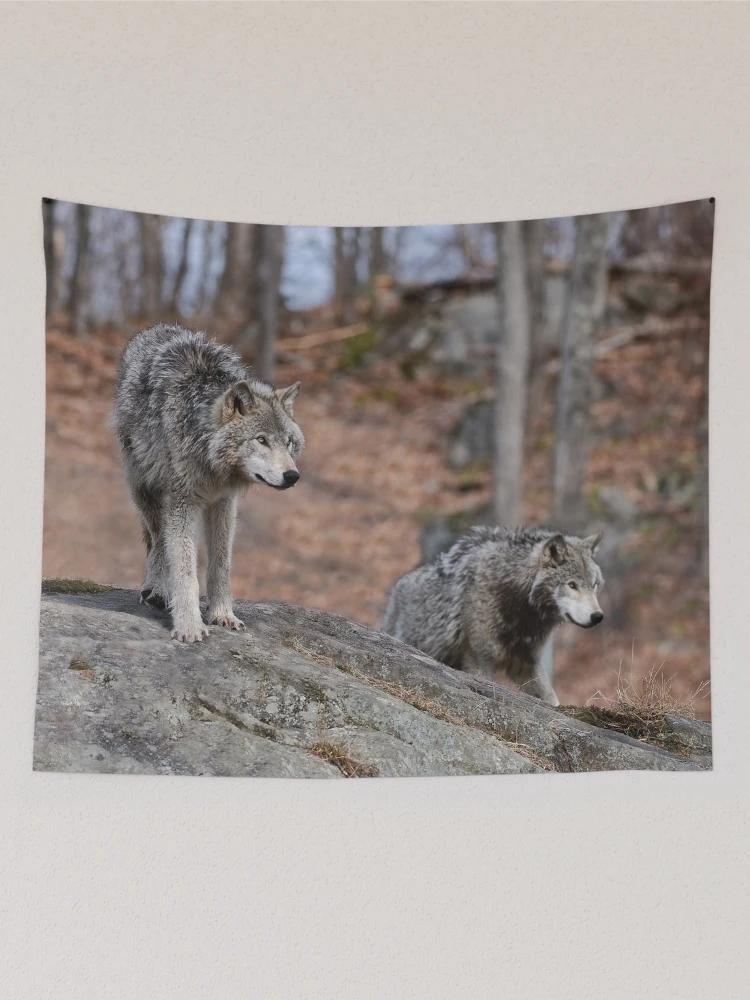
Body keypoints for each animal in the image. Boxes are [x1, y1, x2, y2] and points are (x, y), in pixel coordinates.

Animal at [112, 323, 304, 643]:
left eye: (288, 443)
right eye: (261, 440)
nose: (292, 476)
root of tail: (158, 327)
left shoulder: (224, 502)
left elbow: (220, 566)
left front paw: (222, 615)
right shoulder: (181, 503)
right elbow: (185, 569)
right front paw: (189, 626)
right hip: (147, 491)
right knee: (156, 541)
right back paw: (156, 589)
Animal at [381, 526, 605, 706]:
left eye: (594, 585)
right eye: (572, 585)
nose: (598, 617)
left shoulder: (526, 663)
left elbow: (552, 700)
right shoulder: (479, 660)